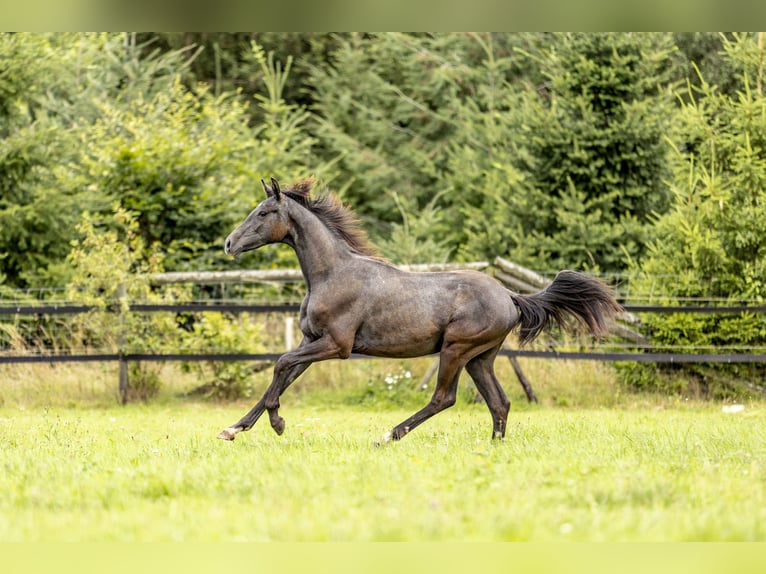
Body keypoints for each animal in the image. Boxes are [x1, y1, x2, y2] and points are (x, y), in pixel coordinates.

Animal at [218, 180, 624, 446]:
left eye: (264, 212)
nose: (229, 243)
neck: (333, 274)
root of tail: (510, 296)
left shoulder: (336, 345)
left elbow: (281, 365)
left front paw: (278, 423)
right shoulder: (312, 340)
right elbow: (283, 374)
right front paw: (233, 429)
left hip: (456, 349)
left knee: (444, 398)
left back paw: (388, 435)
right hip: (481, 358)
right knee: (500, 402)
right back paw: (494, 446)